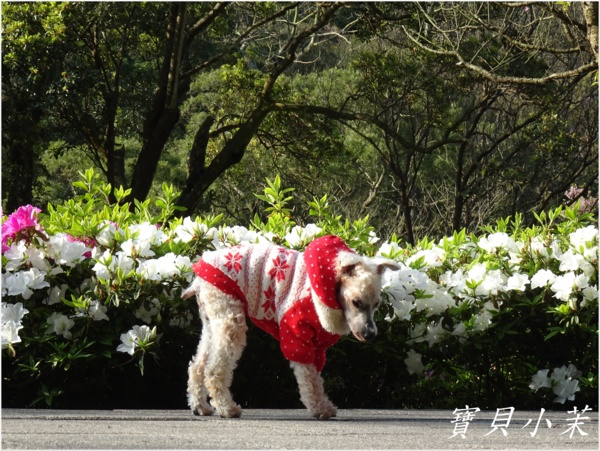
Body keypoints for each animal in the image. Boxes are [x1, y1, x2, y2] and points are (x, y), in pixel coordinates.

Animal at [182, 235, 399, 420]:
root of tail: (198, 280)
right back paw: (227, 408)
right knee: (214, 370)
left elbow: (316, 378)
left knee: (197, 366)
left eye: (377, 304)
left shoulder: (317, 345)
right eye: (356, 302)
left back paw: (200, 406)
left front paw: (324, 406)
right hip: (230, 320)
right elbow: (309, 379)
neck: (325, 291)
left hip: (212, 322)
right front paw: (320, 409)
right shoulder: (296, 333)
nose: (370, 334)